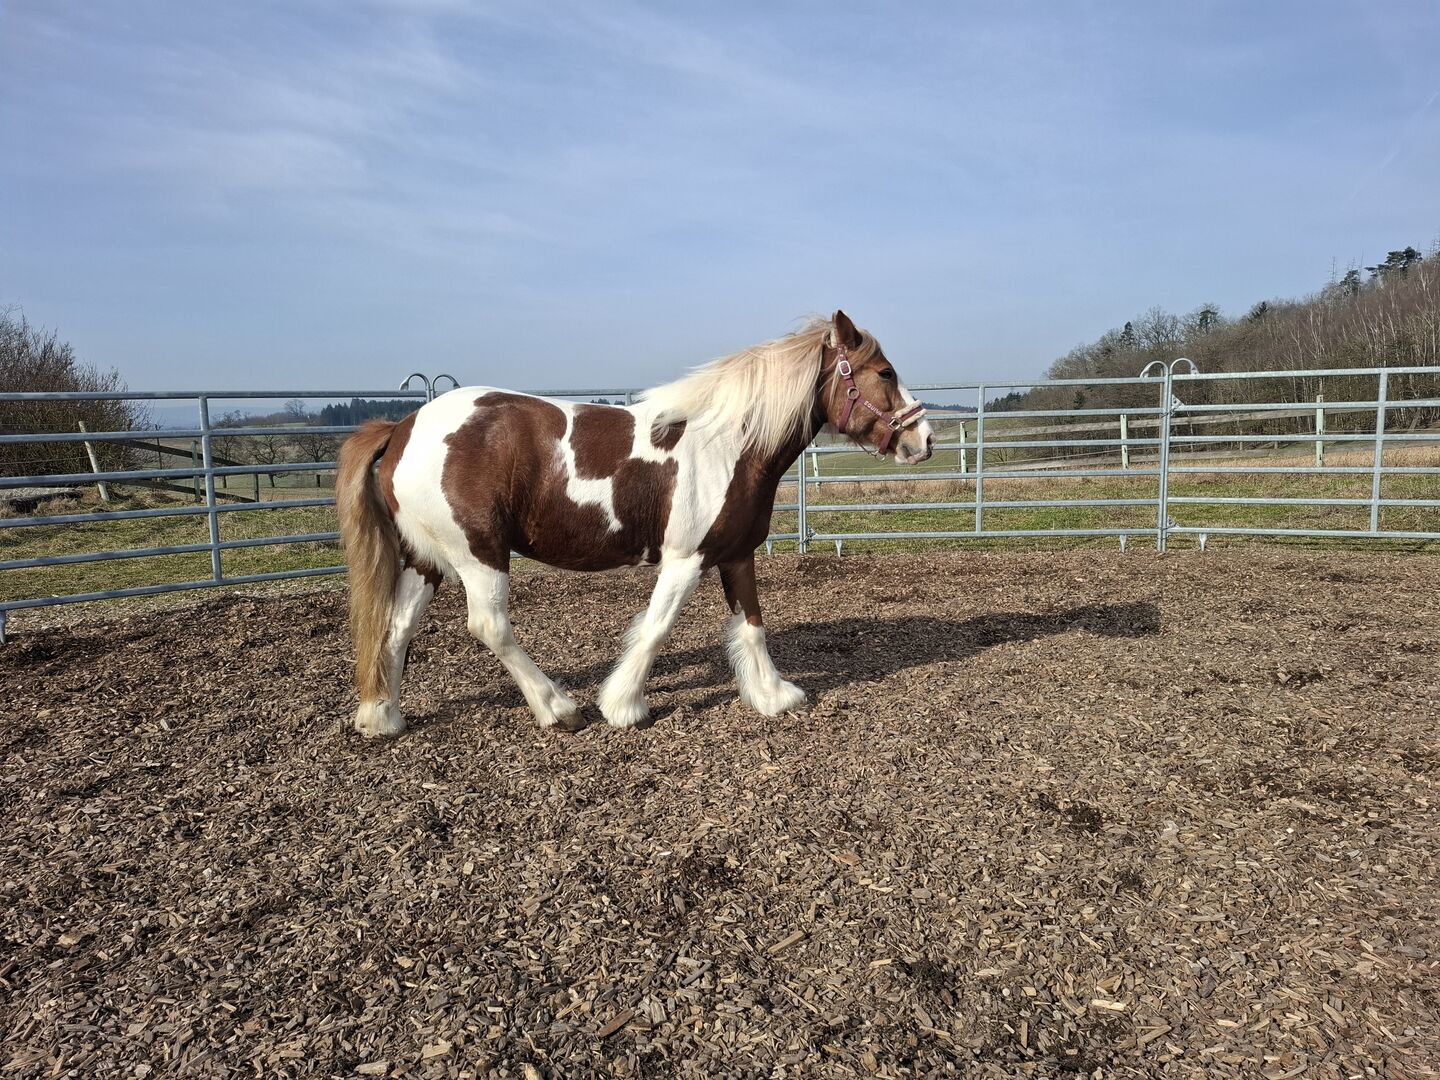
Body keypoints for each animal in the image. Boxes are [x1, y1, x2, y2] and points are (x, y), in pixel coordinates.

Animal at [335, 310, 934, 737]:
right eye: (885, 372)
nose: (924, 440)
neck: (729, 445)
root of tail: (403, 427)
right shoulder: (686, 559)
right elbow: (656, 627)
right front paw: (623, 705)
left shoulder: (735, 555)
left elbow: (752, 626)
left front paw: (773, 695)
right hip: (479, 554)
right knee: (490, 626)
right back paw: (559, 708)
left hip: (428, 559)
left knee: (396, 626)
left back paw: (384, 717)